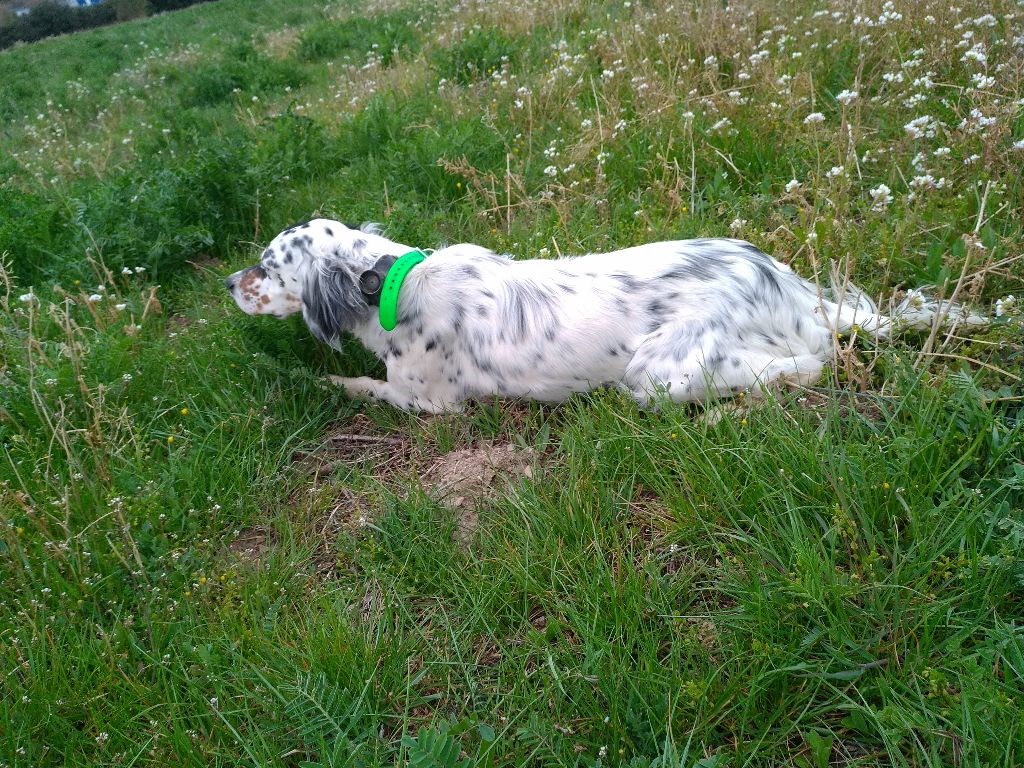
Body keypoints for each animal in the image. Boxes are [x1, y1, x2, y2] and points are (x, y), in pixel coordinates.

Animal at [225, 218, 982, 413]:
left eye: (266, 263)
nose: (229, 281)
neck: (389, 280)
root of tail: (789, 288)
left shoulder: (426, 403)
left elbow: (358, 385)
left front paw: (305, 381)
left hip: (656, 374)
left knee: (808, 367)